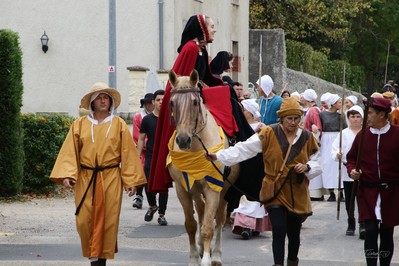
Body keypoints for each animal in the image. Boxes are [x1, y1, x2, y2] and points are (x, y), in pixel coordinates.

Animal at [167, 69, 239, 264]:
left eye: (194, 101)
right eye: (172, 102)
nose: (183, 140)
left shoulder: (213, 188)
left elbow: (208, 226)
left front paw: (207, 259)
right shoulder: (182, 189)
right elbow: (191, 224)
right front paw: (194, 257)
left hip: (224, 190)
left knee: (219, 218)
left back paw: (217, 255)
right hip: (195, 190)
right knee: (200, 210)